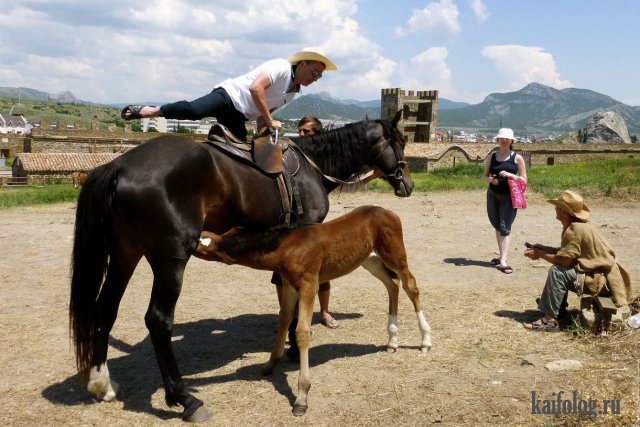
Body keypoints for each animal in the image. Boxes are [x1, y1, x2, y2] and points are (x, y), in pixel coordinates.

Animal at [67, 110, 412, 422]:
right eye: (401, 141)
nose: (406, 183)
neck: (312, 166)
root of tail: (119, 165)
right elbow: (294, 305)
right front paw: (291, 348)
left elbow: (283, 296)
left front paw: (285, 345)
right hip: (170, 261)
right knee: (158, 320)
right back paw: (185, 399)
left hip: (125, 254)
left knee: (105, 309)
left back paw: (102, 384)